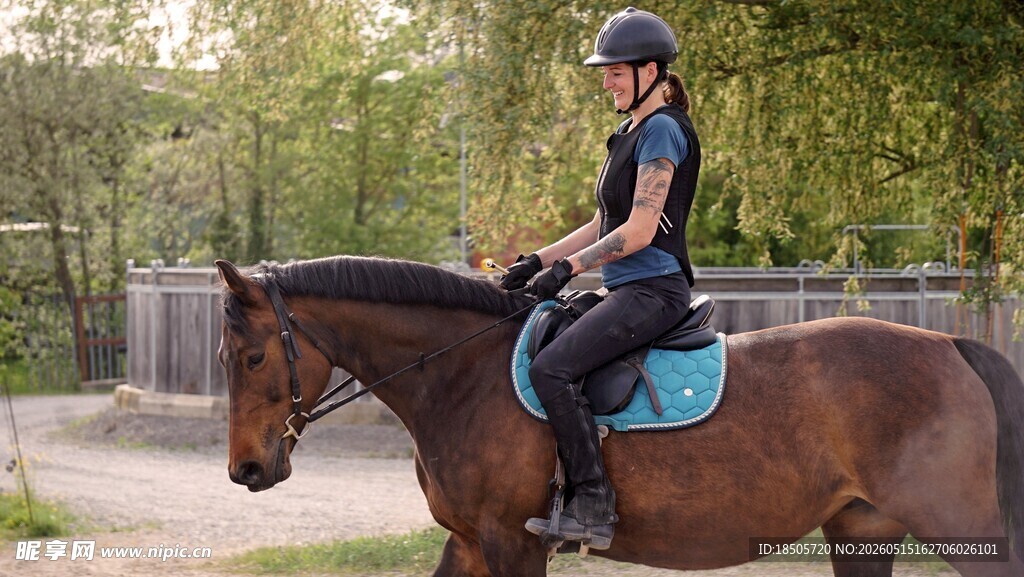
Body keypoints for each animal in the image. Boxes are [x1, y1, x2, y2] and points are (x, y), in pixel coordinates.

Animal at [214, 256, 1024, 577]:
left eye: (250, 358)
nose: (246, 468)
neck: (463, 372)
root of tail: (951, 345)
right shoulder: (471, 543)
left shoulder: (513, 542)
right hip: (861, 529)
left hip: (959, 527)